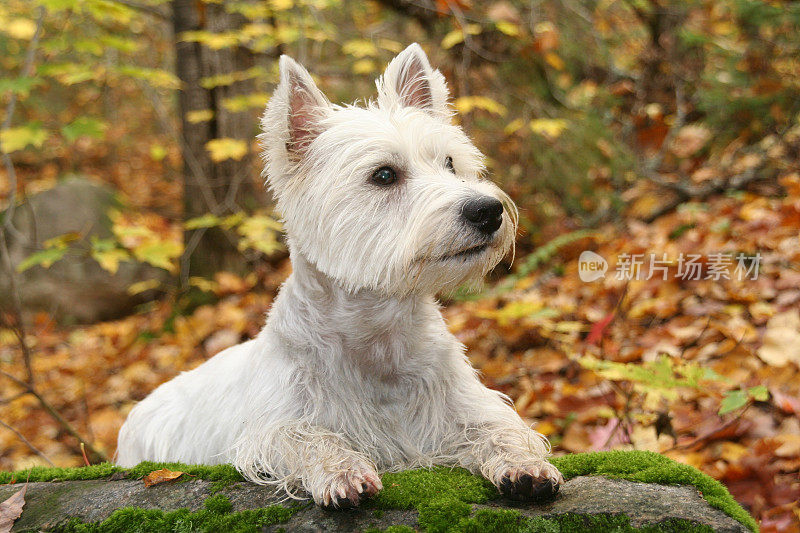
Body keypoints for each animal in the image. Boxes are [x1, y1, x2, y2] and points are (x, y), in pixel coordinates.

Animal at [117, 43, 564, 510]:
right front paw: (344, 473)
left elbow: (500, 428)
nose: (487, 210)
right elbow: (307, 438)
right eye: (384, 174)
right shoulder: (273, 426)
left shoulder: (463, 406)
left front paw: (527, 468)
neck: (376, 337)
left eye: (450, 163)